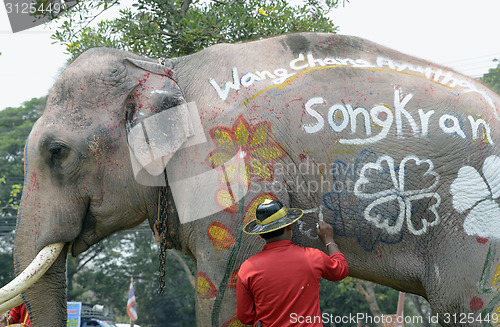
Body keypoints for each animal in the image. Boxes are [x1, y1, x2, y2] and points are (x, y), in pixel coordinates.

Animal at [0, 31, 500, 327]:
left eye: (57, 152)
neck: (167, 67)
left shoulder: (229, 169)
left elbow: (225, 285)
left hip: (473, 228)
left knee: (461, 304)